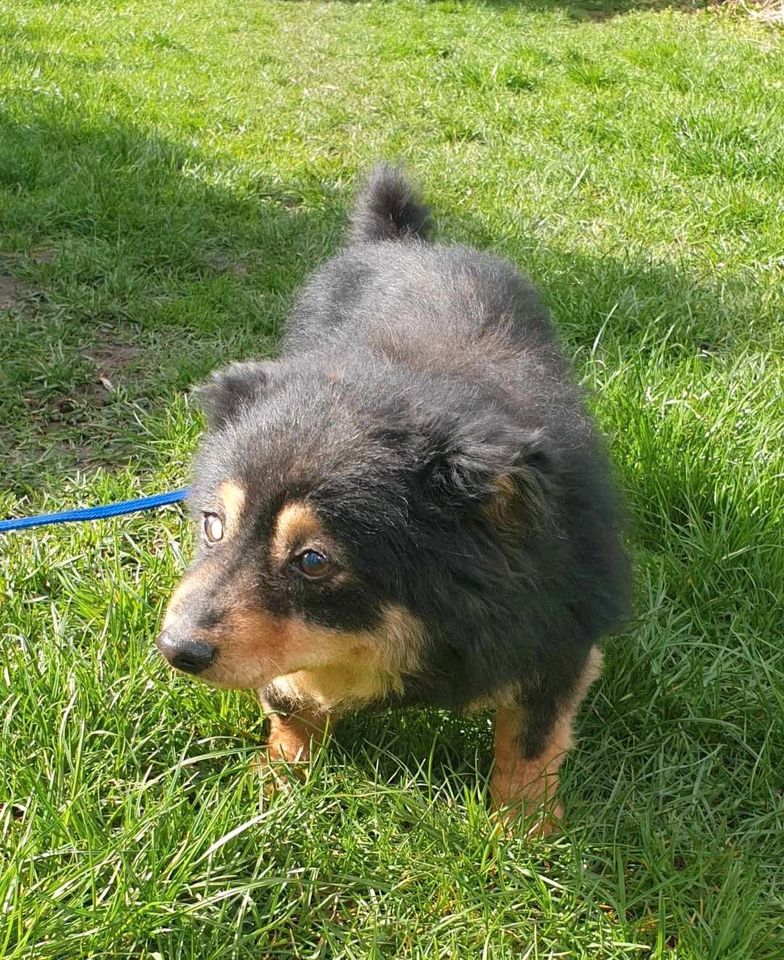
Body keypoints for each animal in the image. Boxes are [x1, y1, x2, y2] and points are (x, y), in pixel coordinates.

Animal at [159, 167, 632, 832]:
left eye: (312, 560)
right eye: (213, 524)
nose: (176, 648)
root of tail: (404, 242)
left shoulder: (560, 624)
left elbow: (531, 740)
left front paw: (524, 830)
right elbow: (287, 696)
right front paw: (278, 783)